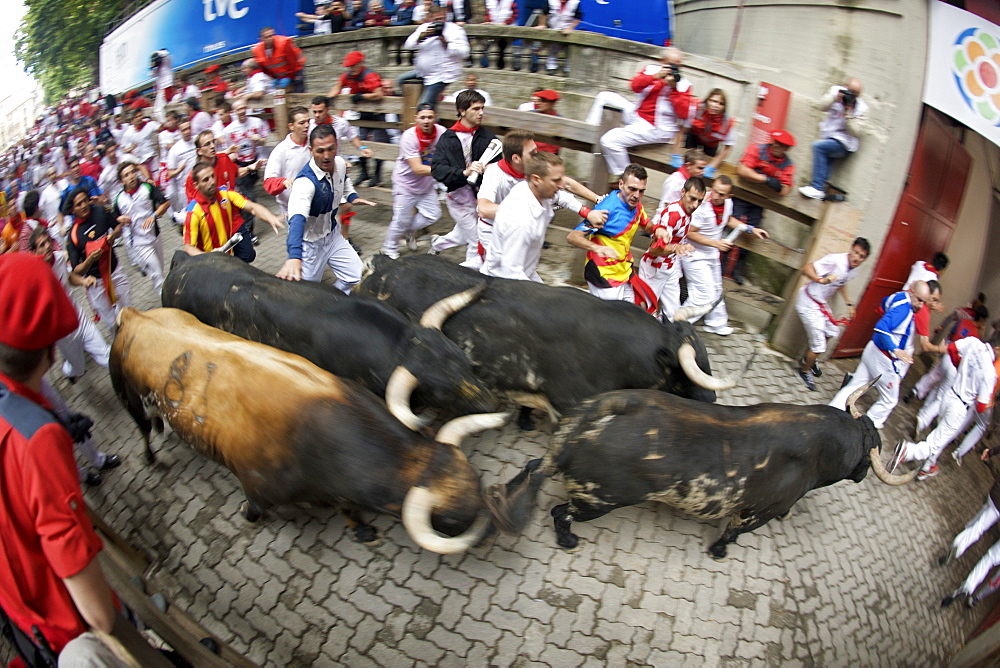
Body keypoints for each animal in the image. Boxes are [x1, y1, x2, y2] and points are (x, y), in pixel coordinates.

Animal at [486, 380, 916, 560]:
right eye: (869, 452)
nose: (863, 473)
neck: (818, 443)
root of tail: (605, 409)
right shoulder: (759, 513)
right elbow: (733, 533)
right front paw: (719, 551)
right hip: (597, 500)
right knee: (561, 512)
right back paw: (568, 540)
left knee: (534, 470)